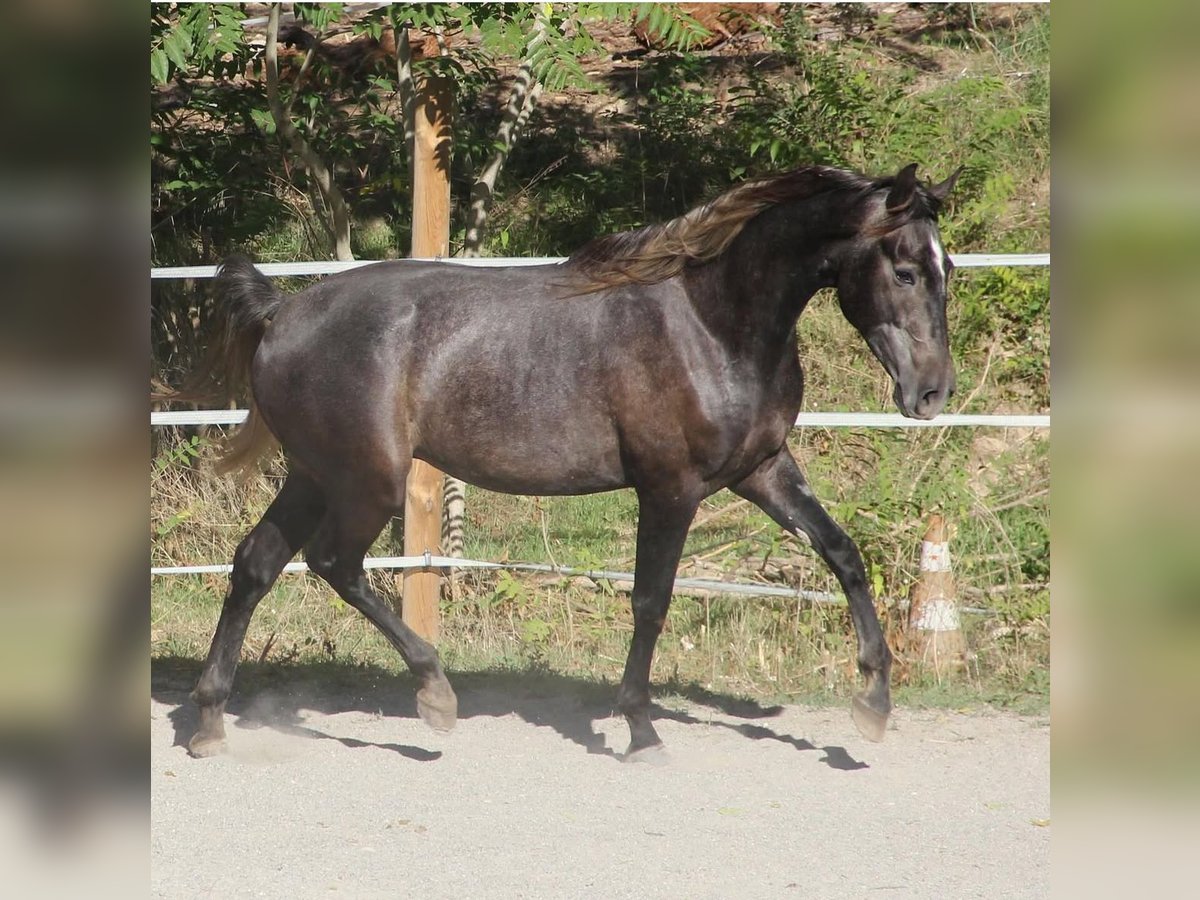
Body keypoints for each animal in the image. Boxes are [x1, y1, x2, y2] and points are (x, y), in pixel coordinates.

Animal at [162, 162, 964, 763]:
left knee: (256, 563)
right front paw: (641, 729)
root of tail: (280, 312)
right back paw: (435, 695)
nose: (931, 393)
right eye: (903, 270)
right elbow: (651, 601)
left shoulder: (761, 469)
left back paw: (209, 723)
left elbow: (842, 553)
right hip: (366, 481)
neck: (712, 325)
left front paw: (873, 703)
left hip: (315, 475)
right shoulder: (670, 488)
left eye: (945, 266)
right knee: (333, 563)